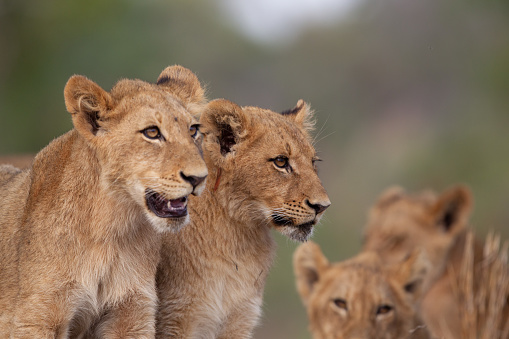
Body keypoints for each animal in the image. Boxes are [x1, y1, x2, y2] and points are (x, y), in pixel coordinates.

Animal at [0, 65, 207, 338]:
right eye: (152, 132)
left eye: (193, 130)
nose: (199, 177)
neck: (111, 232)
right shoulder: (37, 316)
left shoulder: (132, 313)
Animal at [155, 99, 330, 338]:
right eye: (281, 161)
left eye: (313, 162)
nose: (323, 206)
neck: (237, 239)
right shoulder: (173, 318)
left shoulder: (240, 319)